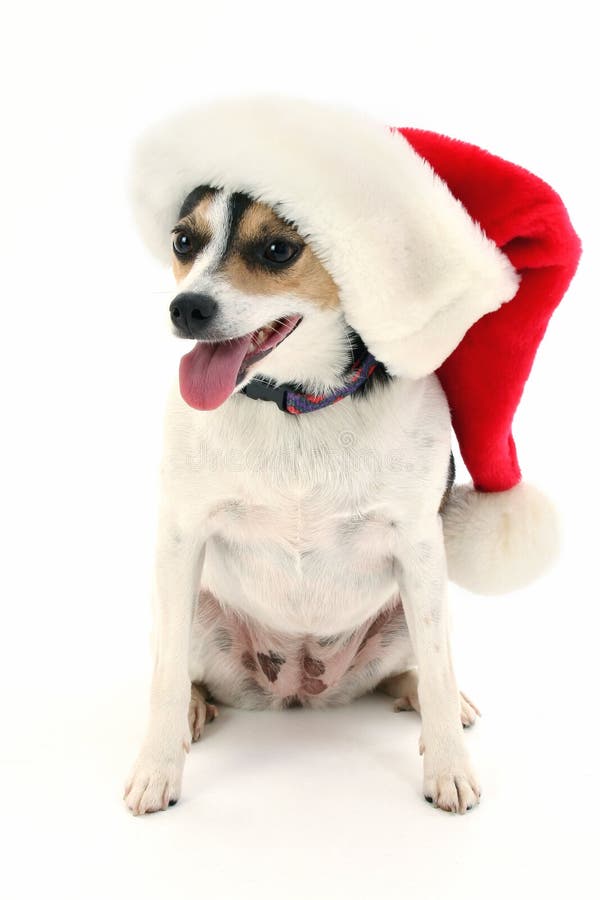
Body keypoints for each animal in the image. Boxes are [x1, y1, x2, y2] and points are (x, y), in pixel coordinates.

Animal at [125, 96, 568, 816]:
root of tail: (305, 683)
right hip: (189, 610)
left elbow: (439, 669)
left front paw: (450, 766)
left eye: (278, 249)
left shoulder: (418, 545)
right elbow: (162, 681)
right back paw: (195, 708)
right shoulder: (181, 537)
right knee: (183, 671)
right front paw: (157, 768)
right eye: (183, 241)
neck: (297, 406)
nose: (185, 307)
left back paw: (435, 701)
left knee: (419, 669)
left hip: (412, 606)